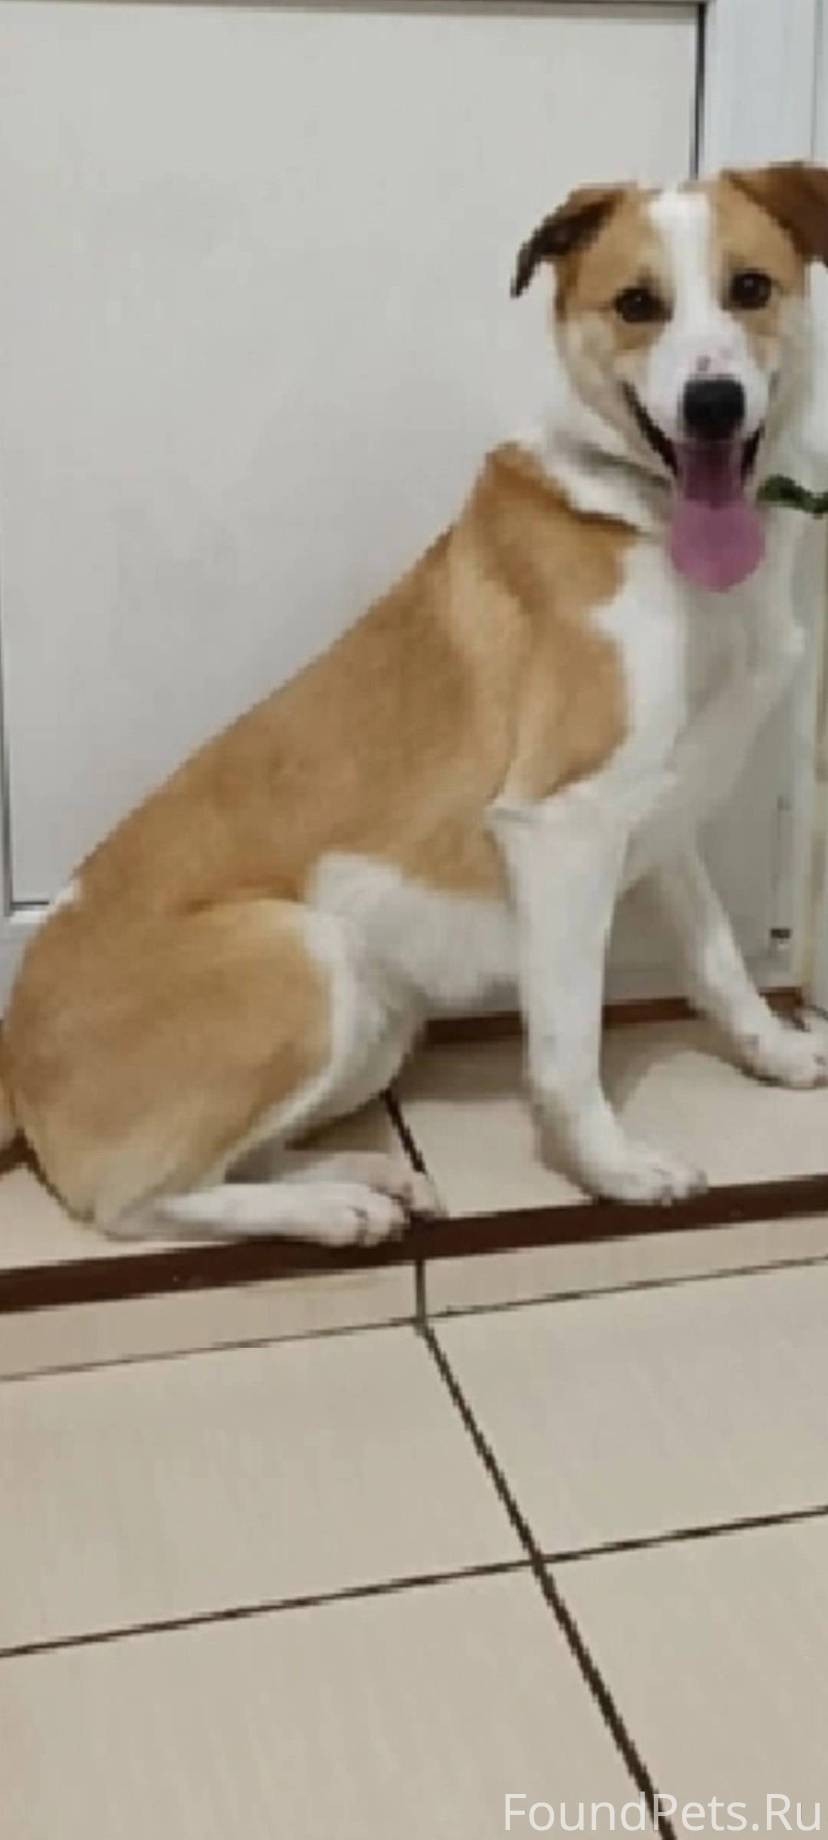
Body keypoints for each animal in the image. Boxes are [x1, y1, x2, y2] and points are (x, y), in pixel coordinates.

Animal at [2, 161, 828, 1245]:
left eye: (750, 288)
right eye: (637, 304)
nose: (713, 404)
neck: (645, 513)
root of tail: (12, 1057)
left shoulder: (656, 816)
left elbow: (721, 959)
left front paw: (777, 1050)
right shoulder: (561, 829)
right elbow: (568, 1045)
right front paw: (611, 1170)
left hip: (379, 1015)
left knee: (235, 1157)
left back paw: (362, 1175)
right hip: (303, 952)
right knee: (135, 1202)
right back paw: (332, 1209)